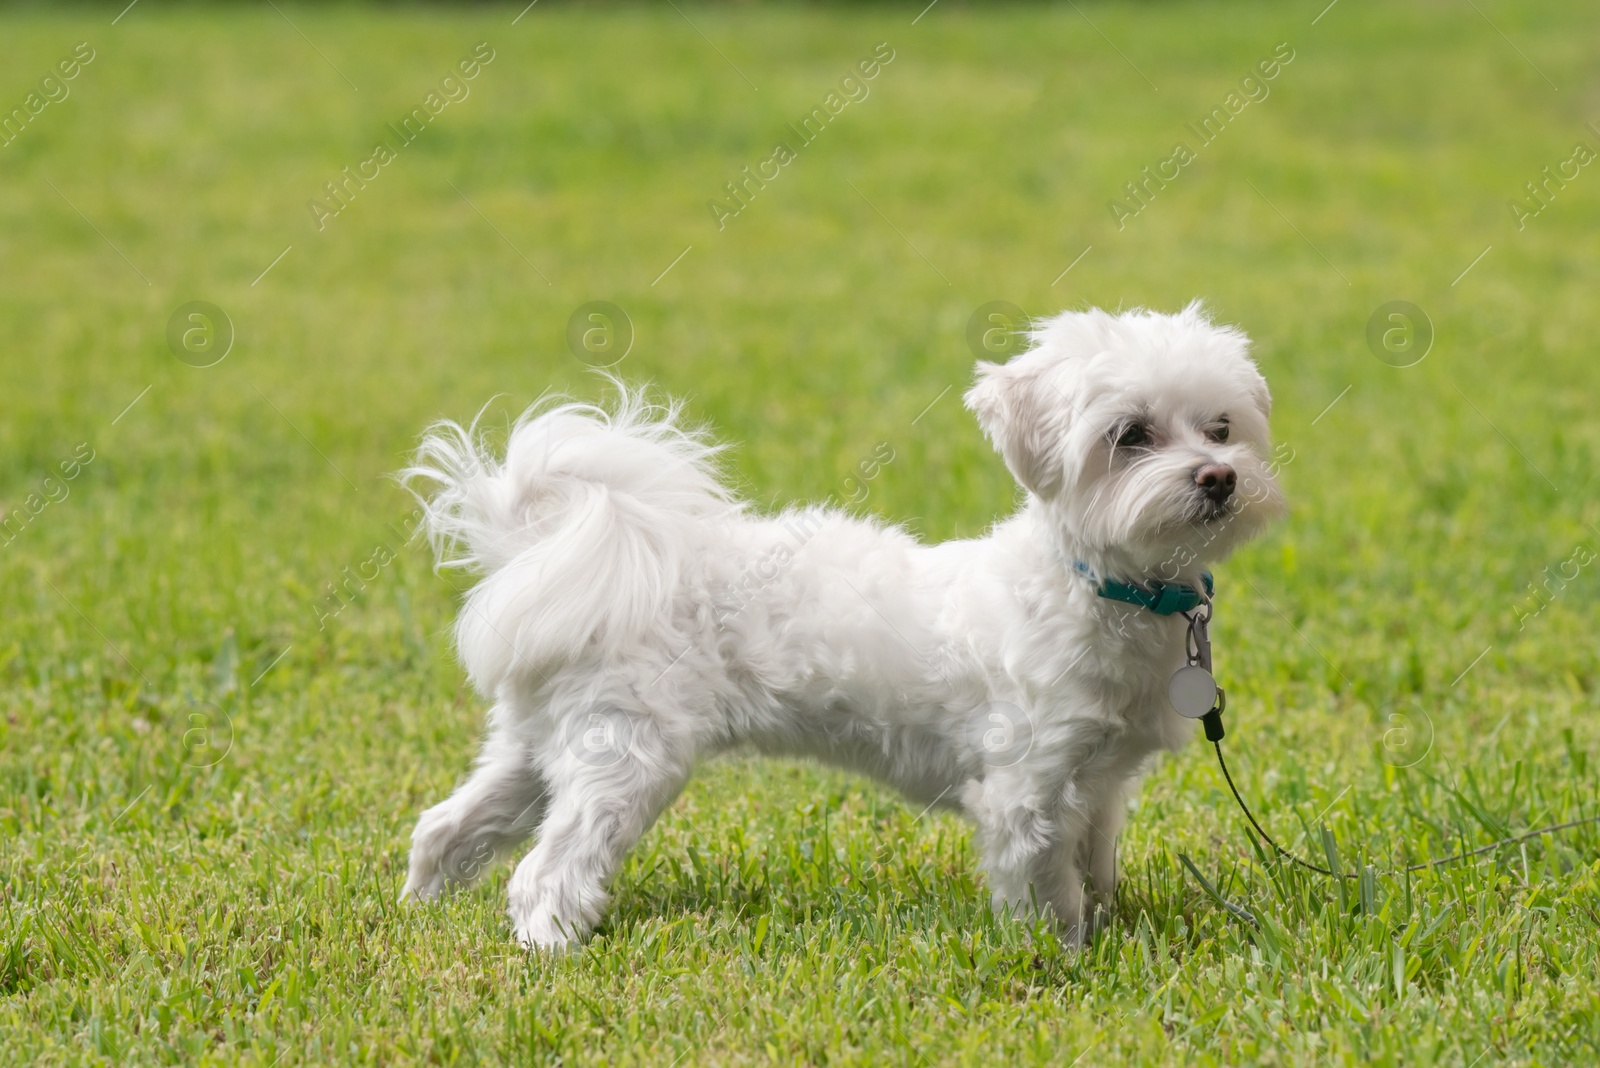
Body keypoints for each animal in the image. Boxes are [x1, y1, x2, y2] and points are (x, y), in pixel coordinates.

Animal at [400, 302, 1286, 952]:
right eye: (1129, 435)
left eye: (1221, 428)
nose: (1218, 477)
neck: (1095, 586)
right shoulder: (1026, 792)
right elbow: (1048, 892)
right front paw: (1066, 959)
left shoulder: (1098, 783)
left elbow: (1095, 868)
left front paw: (1109, 930)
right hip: (627, 751)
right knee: (544, 870)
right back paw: (551, 944)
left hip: (543, 744)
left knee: (447, 826)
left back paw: (421, 906)